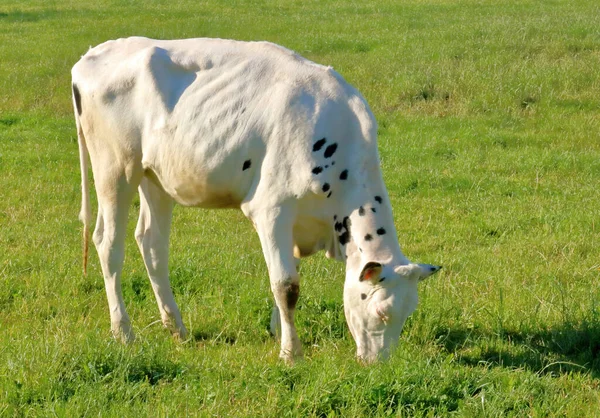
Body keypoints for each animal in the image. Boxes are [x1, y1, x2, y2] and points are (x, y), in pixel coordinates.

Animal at [72, 36, 440, 362]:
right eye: (381, 312)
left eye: (408, 314)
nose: (379, 363)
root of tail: (93, 54)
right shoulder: (272, 209)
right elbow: (286, 285)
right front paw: (291, 352)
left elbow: (289, 274)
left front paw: (278, 331)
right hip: (115, 169)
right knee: (108, 244)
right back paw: (124, 332)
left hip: (155, 177)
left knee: (152, 244)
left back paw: (177, 328)